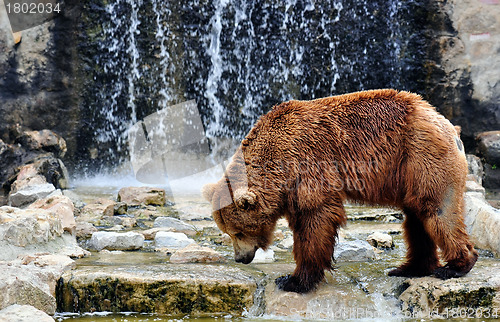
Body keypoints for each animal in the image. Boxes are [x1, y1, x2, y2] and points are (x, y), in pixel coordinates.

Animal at [201, 88, 478, 294]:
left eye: (238, 232)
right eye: (227, 232)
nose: (240, 258)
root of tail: (447, 124)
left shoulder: (307, 164)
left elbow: (315, 219)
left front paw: (294, 280)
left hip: (421, 155)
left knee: (437, 209)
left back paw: (455, 265)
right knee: (416, 219)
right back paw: (410, 268)